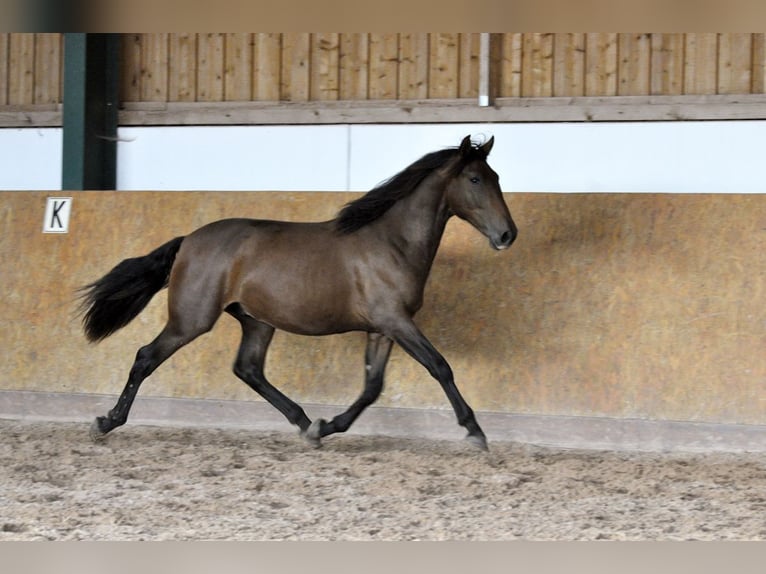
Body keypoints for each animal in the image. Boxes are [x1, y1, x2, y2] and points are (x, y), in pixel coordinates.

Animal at [81, 137, 520, 452]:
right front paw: (475, 431)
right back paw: (106, 421)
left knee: (248, 369)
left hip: (256, 320)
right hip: (191, 320)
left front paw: (327, 428)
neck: (391, 242)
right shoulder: (396, 321)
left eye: (497, 177)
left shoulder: (382, 329)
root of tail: (188, 240)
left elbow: (372, 388)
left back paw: (305, 423)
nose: (507, 235)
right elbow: (440, 367)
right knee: (145, 357)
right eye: (476, 179)